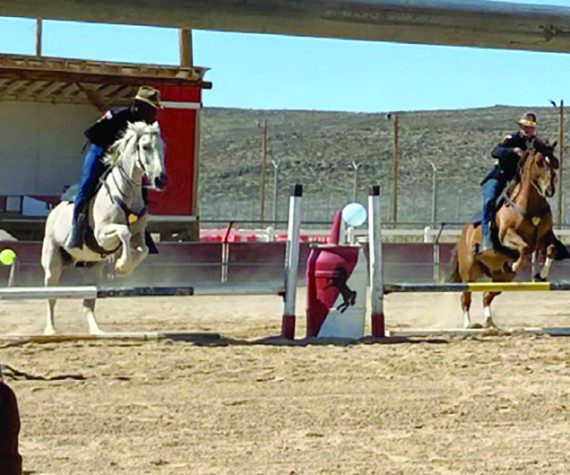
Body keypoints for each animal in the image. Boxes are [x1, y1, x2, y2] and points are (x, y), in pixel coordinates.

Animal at [41, 122, 165, 338]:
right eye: (145, 147)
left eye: (163, 147)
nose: (161, 180)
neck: (126, 194)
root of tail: (53, 211)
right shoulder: (102, 234)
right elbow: (123, 231)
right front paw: (121, 264)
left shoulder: (139, 236)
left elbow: (143, 249)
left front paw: (122, 267)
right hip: (52, 264)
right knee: (51, 297)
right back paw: (51, 329)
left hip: (93, 268)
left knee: (88, 302)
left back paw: (96, 330)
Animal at [448, 141, 564, 328]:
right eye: (539, 162)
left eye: (555, 162)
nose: (550, 190)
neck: (531, 207)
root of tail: (463, 236)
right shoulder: (506, 236)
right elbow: (524, 248)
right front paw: (514, 265)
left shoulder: (545, 237)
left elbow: (551, 249)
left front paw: (540, 276)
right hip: (468, 271)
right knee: (466, 297)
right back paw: (468, 324)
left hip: (497, 277)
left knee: (487, 296)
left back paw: (489, 321)